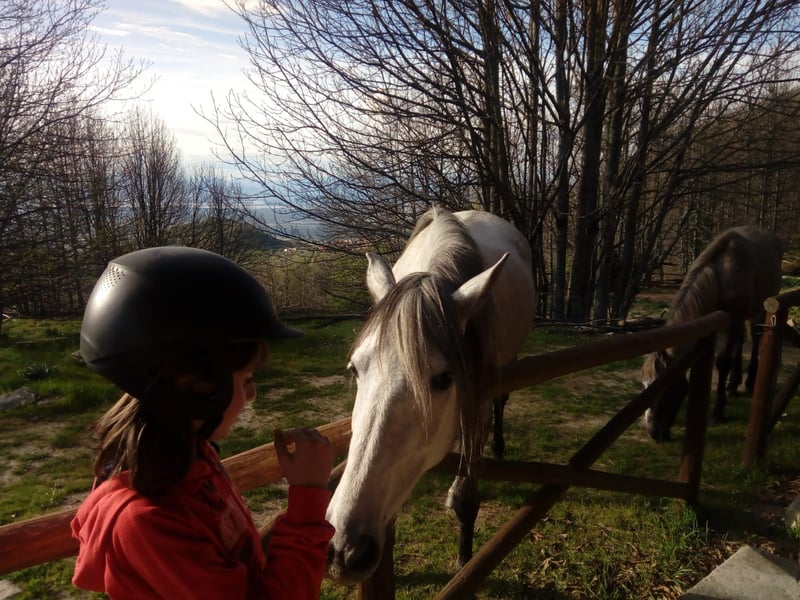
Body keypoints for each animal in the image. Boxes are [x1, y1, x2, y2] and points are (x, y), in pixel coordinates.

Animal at [325, 207, 536, 584]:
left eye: (442, 380)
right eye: (355, 369)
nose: (343, 550)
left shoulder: (477, 405)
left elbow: (466, 500)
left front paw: (464, 561)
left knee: (503, 402)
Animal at [641, 225, 783, 442]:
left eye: (665, 389)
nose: (653, 433)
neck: (721, 276)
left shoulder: (734, 320)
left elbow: (723, 362)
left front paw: (717, 413)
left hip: (760, 308)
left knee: (755, 337)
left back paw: (749, 382)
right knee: (739, 343)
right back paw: (733, 385)